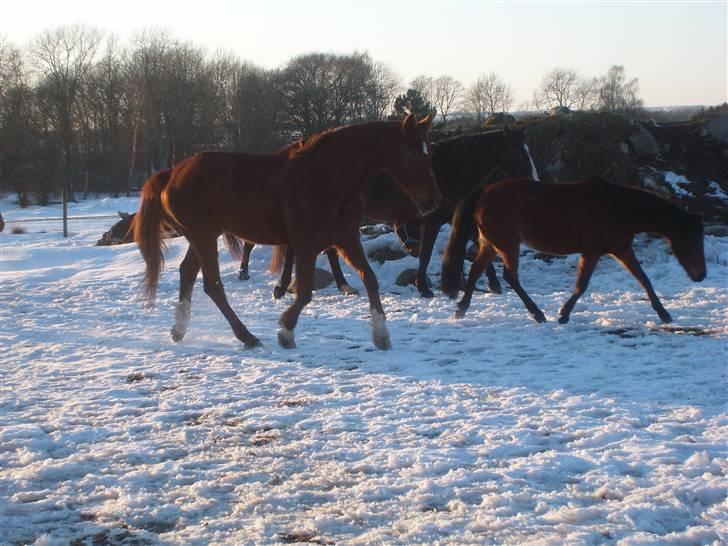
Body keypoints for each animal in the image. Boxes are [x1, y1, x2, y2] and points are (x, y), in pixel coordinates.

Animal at [134, 117, 440, 350]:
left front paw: (381, 334)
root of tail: (173, 172)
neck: (328, 177)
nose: (432, 201)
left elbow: (371, 280)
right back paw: (247, 337)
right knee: (214, 287)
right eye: (412, 154)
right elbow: (303, 293)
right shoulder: (306, 244)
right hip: (203, 236)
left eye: (430, 153)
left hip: (202, 236)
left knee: (188, 274)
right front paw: (285, 331)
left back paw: (180, 330)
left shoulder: (346, 239)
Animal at [237, 126, 536, 298]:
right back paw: (281, 286)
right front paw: (424, 287)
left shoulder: (449, 217)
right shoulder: (432, 220)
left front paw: (492, 283)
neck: (447, 168)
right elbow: (426, 253)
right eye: (518, 152)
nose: (534, 178)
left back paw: (343, 286)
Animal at [440, 176, 708, 324]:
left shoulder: (621, 250)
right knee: (509, 276)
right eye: (692, 241)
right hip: (507, 245)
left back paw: (461, 310)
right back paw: (537, 314)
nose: (701, 275)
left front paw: (664, 314)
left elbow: (644, 279)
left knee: (476, 270)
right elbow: (582, 285)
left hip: (491, 244)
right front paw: (563, 314)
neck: (618, 208)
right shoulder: (592, 252)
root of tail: (483, 192)